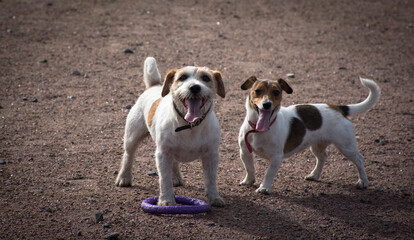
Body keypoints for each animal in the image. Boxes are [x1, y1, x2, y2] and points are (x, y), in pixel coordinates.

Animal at [116, 56, 225, 206]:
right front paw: (166, 200)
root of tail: (154, 85)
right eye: (182, 77)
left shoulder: (211, 155)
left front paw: (214, 197)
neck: (189, 125)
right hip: (132, 137)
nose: (194, 87)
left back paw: (176, 177)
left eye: (205, 78)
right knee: (128, 156)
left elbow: (211, 179)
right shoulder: (163, 154)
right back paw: (124, 177)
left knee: (174, 163)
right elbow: (164, 179)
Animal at [238, 76, 380, 194]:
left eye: (276, 92)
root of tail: (339, 108)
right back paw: (314, 175)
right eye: (257, 91)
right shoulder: (244, 152)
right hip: (317, 146)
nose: (266, 104)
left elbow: (268, 174)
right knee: (322, 157)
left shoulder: (276, 157)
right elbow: (249, 168)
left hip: (346, 147)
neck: (258, 129)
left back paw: (363, 181)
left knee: (359, 159)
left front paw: (264, 188)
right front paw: (248, 181)